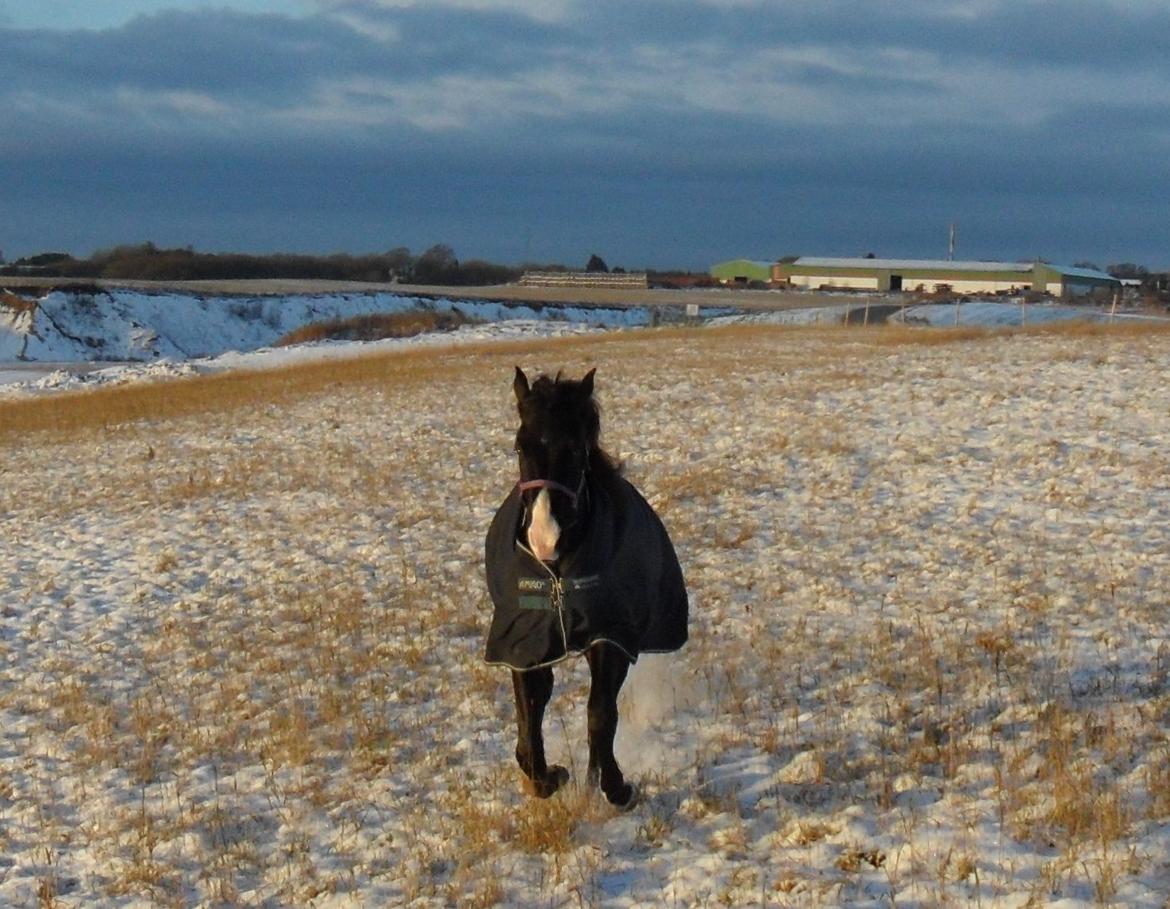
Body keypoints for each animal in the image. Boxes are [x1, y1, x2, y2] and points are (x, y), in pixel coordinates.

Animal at [482, 365, 683, 804]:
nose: (544, 537)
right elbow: (529, 722)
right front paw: (549, 777)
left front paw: (614, 786)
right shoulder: (523, 646)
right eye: (519, 447)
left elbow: (600, 714)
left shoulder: (610, 636)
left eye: (574, 448)